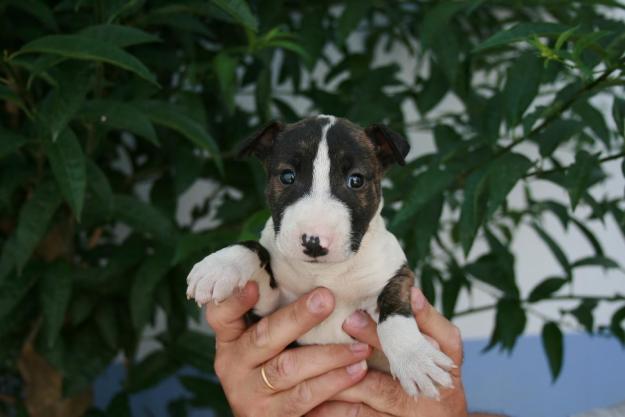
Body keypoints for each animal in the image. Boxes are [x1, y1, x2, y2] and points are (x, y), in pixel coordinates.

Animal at [185, 114, 454, 396]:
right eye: (287, 176)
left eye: (356, 180)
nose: (313, 242)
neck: (324, 273)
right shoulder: (266, 309)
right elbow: (256, 249)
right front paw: (220, 266)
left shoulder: (395, 275)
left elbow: (395, 309)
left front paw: (416, 359)